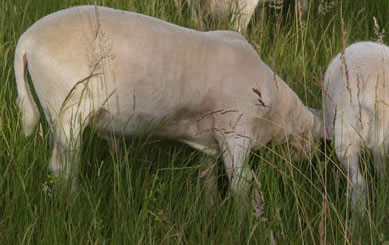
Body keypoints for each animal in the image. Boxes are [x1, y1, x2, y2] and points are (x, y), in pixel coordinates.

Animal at [15, 5, 322, 201]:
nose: (310, 172)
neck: (278, 110)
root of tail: (26, 40)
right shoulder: (236, 132)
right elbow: (241, 185)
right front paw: (242, 222)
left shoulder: (209, 138)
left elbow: (207, 177)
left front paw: (209, 211)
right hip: (66, 109)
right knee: (63, 169)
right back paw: (74, 204)